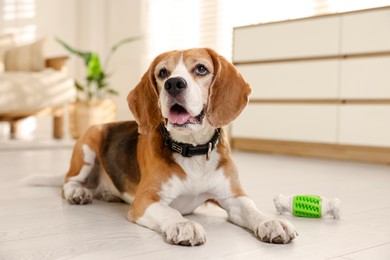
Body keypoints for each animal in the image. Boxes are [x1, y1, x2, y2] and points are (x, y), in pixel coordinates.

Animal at [62, 48, 298, 246]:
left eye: (201, 69)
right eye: (162, 72)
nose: (174, 83)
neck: (192, 149)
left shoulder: (234, 197)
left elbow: (251, 209)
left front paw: (271, 222)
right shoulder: (145, 201)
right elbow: (170, 212)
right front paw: (184, 225)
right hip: (89, 141)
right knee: (68, 181)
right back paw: (78, 192)